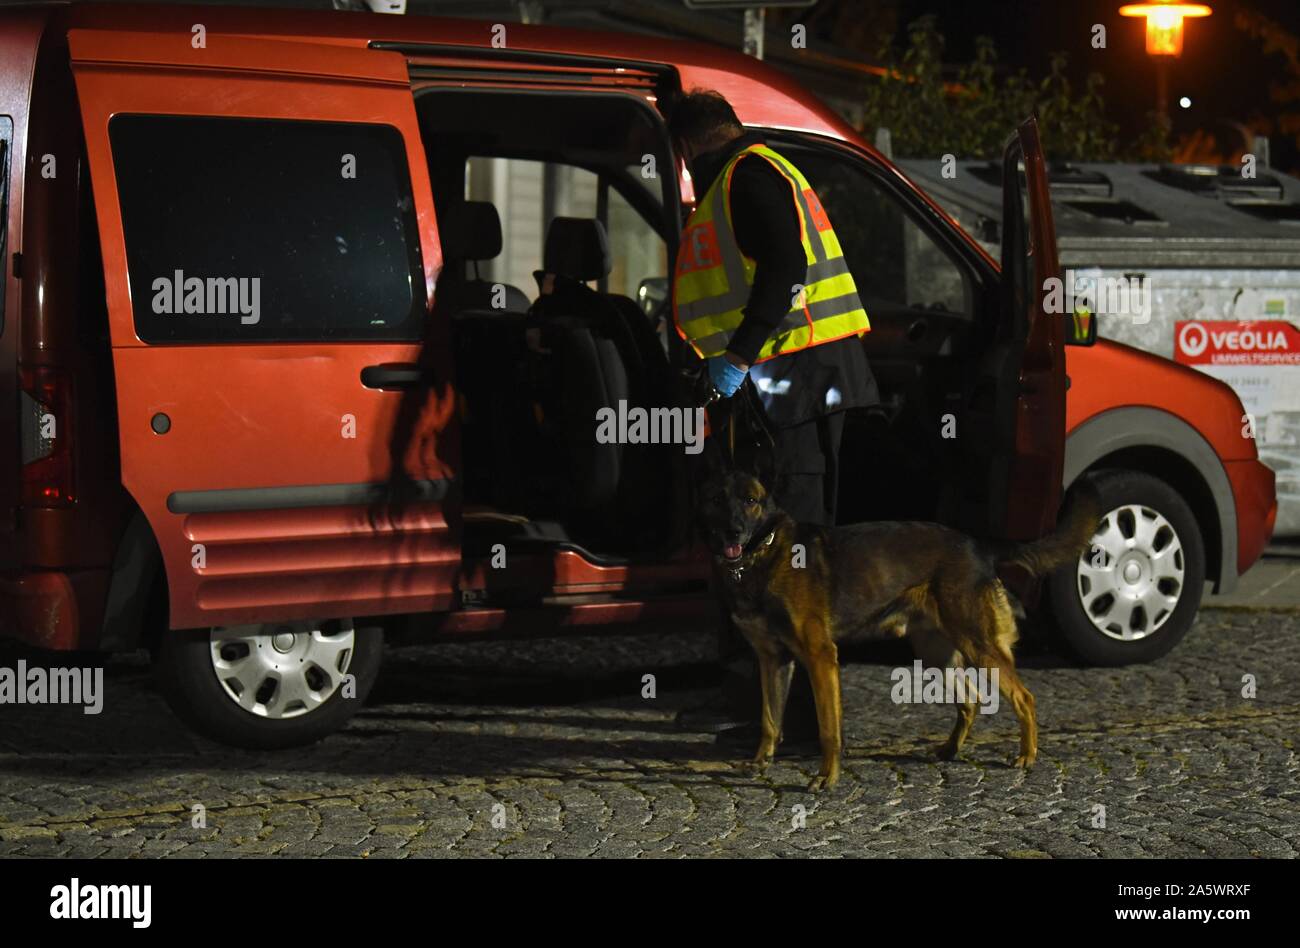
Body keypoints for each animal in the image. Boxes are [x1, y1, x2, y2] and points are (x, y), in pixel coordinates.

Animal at [696, 447, 1102, 785]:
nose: (733, 531)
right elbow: (769, 719)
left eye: (750, 501)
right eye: (716, 500)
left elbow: (829, 729)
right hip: (937, 655)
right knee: (969, 701)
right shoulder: (772, 660)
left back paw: (1026, 755)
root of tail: (978, 544)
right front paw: (761, 761)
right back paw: (950, 750)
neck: (763, 554)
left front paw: (827, 777)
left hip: (979, 646)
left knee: (1024, 697)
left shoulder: (820, 656)